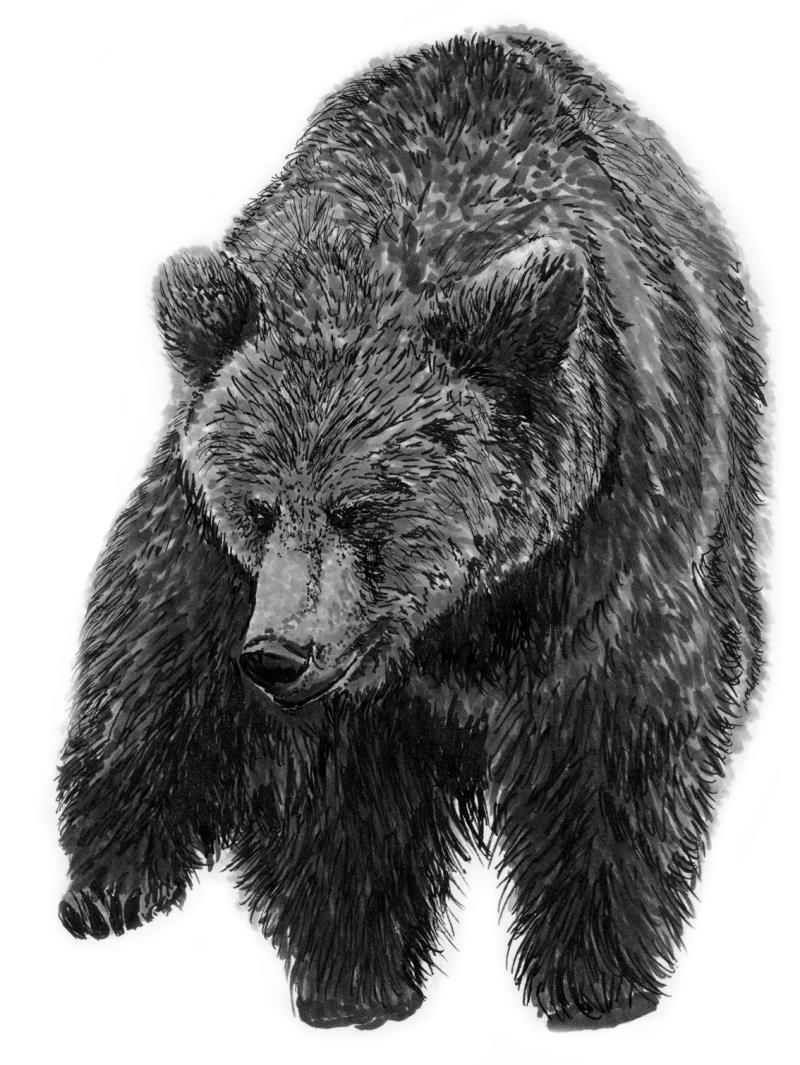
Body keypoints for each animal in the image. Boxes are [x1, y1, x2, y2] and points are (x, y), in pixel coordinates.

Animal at [57, 31, 766, 1029]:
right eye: (258, 506)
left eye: (364, 505)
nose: (278, 654)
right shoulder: (272, 607)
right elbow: (339, 802)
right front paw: (355, 977)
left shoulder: (615, 548)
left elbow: (611, 750)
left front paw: (596, 981)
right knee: (145, 677)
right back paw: (108, 883)